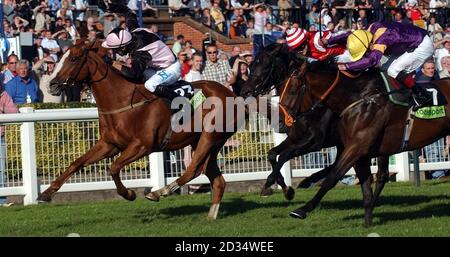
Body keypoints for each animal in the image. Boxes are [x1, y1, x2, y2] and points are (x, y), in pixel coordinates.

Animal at [38, 40, 243, 218]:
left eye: (74, 58)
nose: (51, 85)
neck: (123, 101)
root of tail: (232, 94)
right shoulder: (109, 144)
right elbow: (76, 163)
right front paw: (46, 193)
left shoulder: (142, 146)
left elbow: (113, 167)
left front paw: (129, 194)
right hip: (204, 142)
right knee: (217, 180)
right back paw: (211, 215)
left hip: (210, 137)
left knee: (193, 170)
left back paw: (160, 191)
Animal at [244, 43, 450, 225]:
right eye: (251, 64)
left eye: (263, 64)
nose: (245, 90)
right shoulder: (300, 138)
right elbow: (274, 154)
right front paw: (280, 186)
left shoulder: (317, 141)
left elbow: (291, 158)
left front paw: (291, 197)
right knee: (379, 174)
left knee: (374, 174)